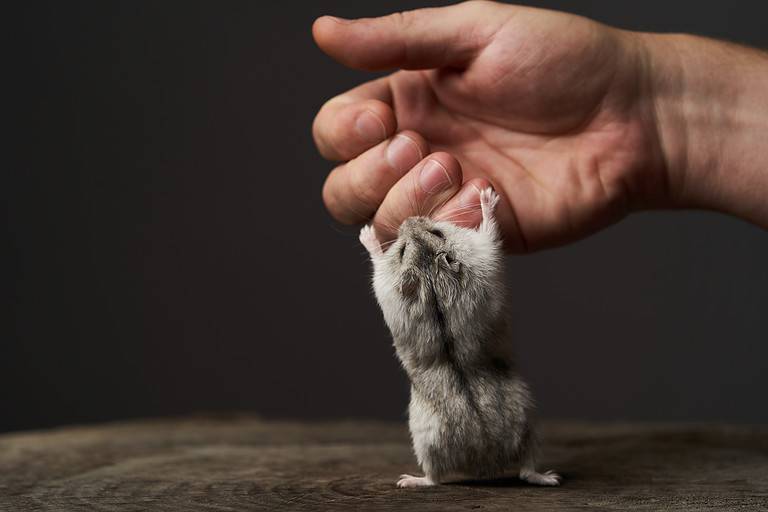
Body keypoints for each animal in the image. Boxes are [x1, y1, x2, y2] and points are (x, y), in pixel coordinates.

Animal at [359, 188, 561, 488]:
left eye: (436, 231)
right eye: (403, 250)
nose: (408, 219)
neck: (431, 272)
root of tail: (485, 462)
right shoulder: (482, 250)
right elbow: (489, 228)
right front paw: (487, 196)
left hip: (522, 427)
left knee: (519, 471)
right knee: (439, 478)